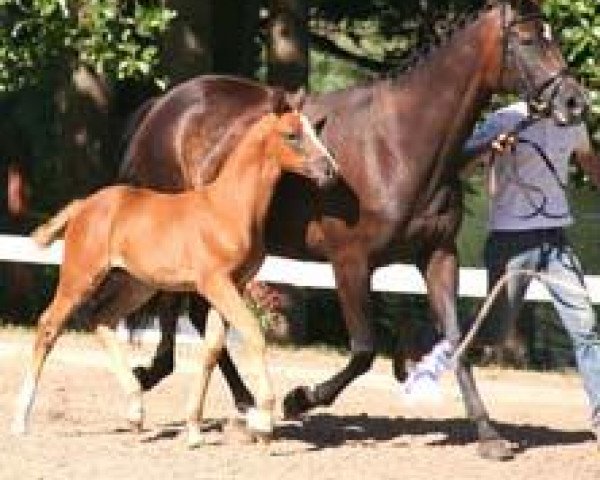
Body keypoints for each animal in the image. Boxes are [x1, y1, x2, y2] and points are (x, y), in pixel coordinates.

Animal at [11, 109, 338, 446]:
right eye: (292, 135)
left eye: (315, 132)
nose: (330, 171)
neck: (229, 209)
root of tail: (83, 205)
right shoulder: (216, 284)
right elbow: (252, 332)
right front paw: (262, 422)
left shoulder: (233, 285)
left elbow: (212, 349)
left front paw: (194, 430)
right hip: (81, 276)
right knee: (49, 326)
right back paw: (21, 420)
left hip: (136, 285)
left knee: (102, 319)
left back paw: (135, 411)